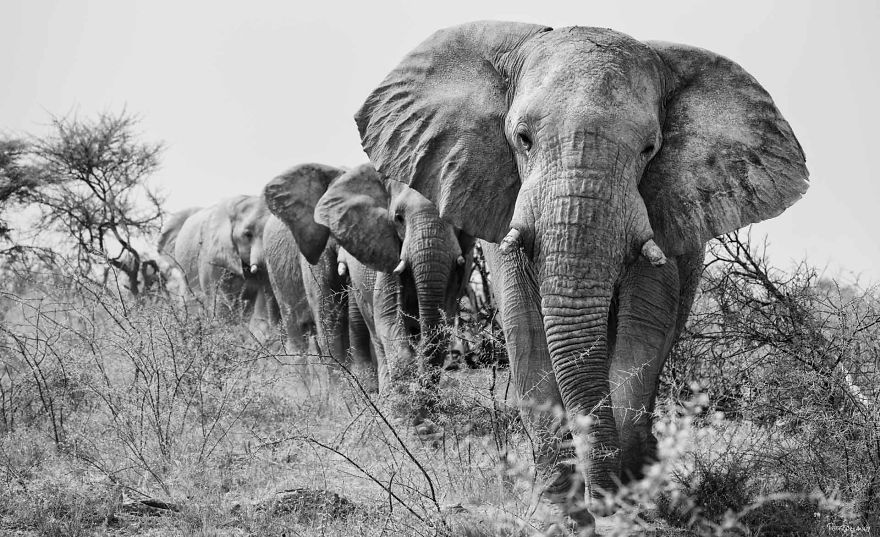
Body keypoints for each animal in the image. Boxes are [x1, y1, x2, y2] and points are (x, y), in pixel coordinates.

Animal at [354, 21, 809, 528]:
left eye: (649, 148)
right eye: (523, 138)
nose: (603, 504)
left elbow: (642, 335)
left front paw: (631, 508)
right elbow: (527, 333)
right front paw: (562, 517)